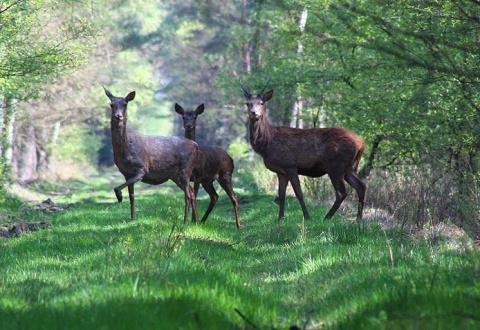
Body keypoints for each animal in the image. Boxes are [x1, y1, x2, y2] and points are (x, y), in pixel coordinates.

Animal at [104, 86, 200, 224]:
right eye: (111, 104)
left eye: (125, 104)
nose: (118, 116)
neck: (124, 151)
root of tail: (196, 146)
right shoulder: (126, 173)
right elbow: (132, 196)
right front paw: (132, 217)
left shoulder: (142, 168)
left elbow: (117, 188)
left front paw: (120, 197)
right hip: (175, 175)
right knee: (191, 192)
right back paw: (196, 220)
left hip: (185, 168)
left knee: (188, 194)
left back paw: (185, 221)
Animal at [240, 80, 368, 222]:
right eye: (248, 103)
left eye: (261, 103)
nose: (253, 112)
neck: (267, 144)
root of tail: (362, 143)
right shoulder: (281, 171)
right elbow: (281, 194)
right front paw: (280, 218)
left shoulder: (290, 165)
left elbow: (299, 193)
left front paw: (307, 216)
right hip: (350, 167)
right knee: (361, 186)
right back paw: (358, 218)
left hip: (335, 165)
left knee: (342, 192)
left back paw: (327, 217)